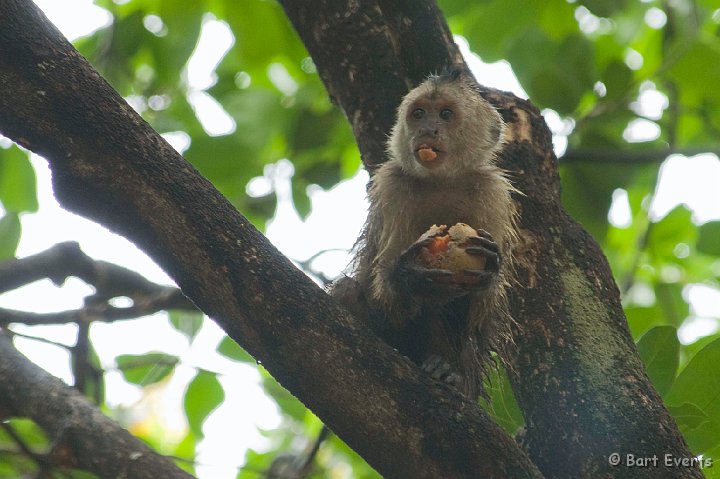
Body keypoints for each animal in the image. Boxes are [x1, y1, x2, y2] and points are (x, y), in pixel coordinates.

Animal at [332, 67, 516, 398]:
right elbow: (385, 287)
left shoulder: (492, 192)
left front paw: (491, 267)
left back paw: (447, 370)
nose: (427, 130)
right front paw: (409, 274)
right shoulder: (393, 186)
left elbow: (481, 311)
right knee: (347, 290)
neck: (440, 180)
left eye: (445, 114)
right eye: (418, 114)